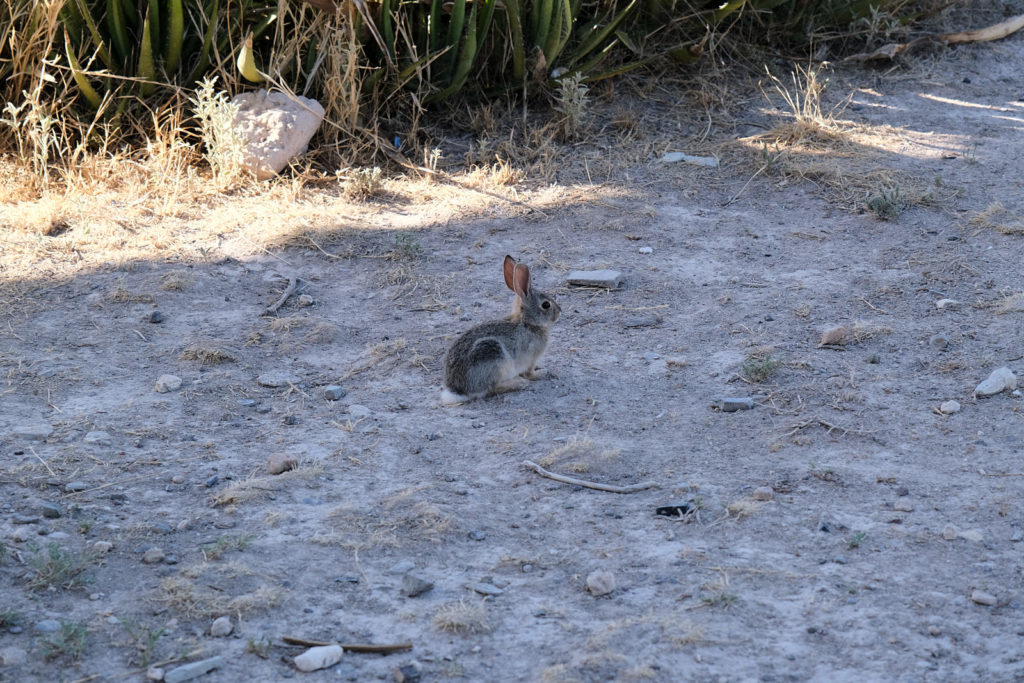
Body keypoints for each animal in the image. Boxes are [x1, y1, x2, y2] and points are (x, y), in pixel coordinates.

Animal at [442, 255, 565, 405]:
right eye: (546, 305)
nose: (559, 312)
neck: (527, 322)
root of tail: (459, 390)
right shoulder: (530, 358)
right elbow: (529, 373)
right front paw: (541, 373)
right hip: (494, 358)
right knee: (492, 388)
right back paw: (519, 383)